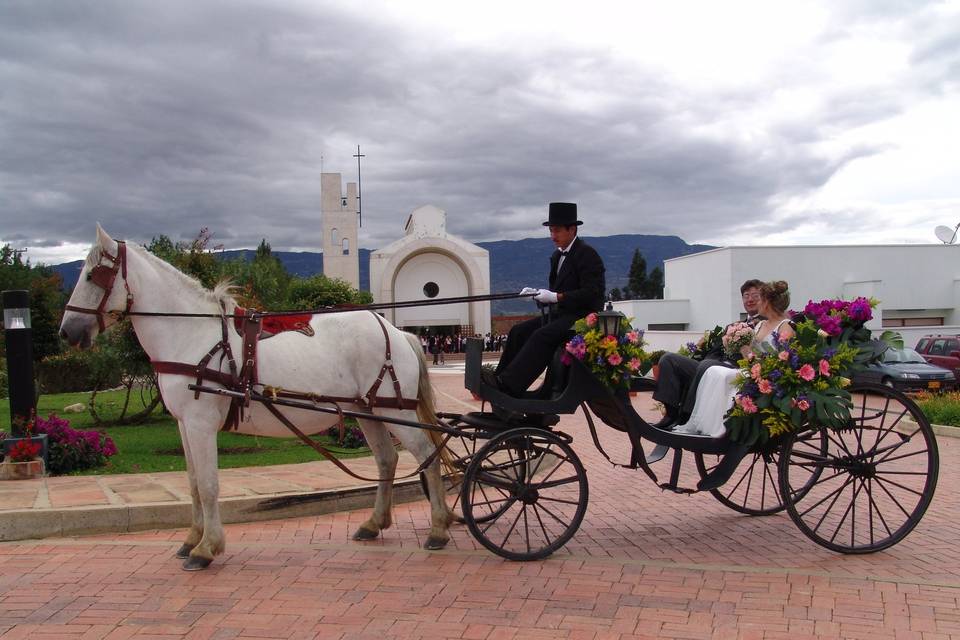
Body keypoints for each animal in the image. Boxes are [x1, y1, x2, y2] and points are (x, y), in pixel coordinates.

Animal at [58, 225, 456, 568]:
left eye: (93, 276)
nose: (67, 332)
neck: (191, 334)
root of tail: (396, 331)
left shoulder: (201, 423)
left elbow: (209, 484)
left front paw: (206, 548)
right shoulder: (184, 424)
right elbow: (192, 483)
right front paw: (191, 538)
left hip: (396, 412)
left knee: (427, 455)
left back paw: (438, 528)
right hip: (367, 410)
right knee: (388, 460)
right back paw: (374, 523)